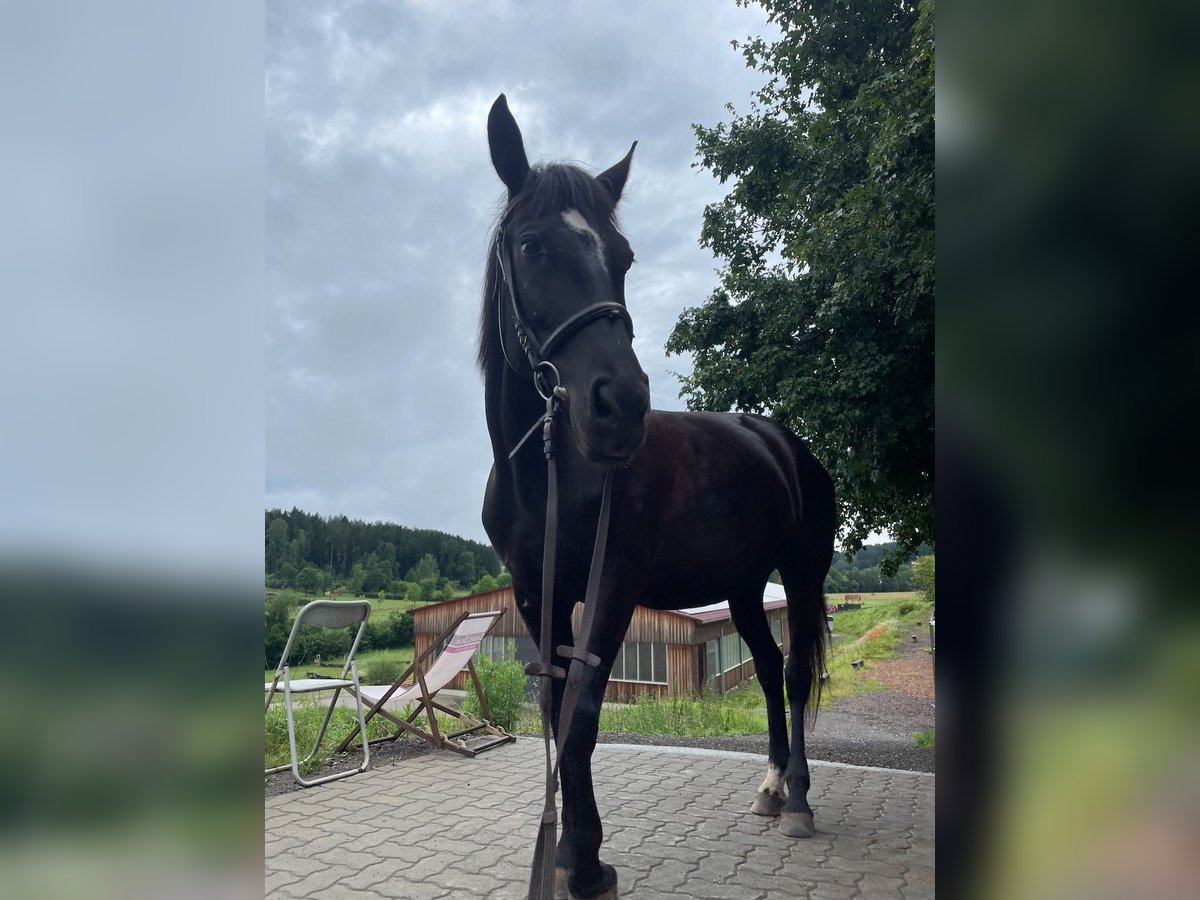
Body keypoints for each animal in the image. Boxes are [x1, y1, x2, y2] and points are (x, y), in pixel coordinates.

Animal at [477, 93, 835, 900]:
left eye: (624, 257)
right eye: (532, 247)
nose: (622, 407)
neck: (549, 473)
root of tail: (786, 445)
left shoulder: (613, 581)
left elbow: (582, 715)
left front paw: (585, 863)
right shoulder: (537, 588)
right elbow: (555, 709)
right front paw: (571, 852)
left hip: (800, 574)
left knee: (796, 673)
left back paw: (799, 799)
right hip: (743, 587)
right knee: (770, 668)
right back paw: (771, 788)